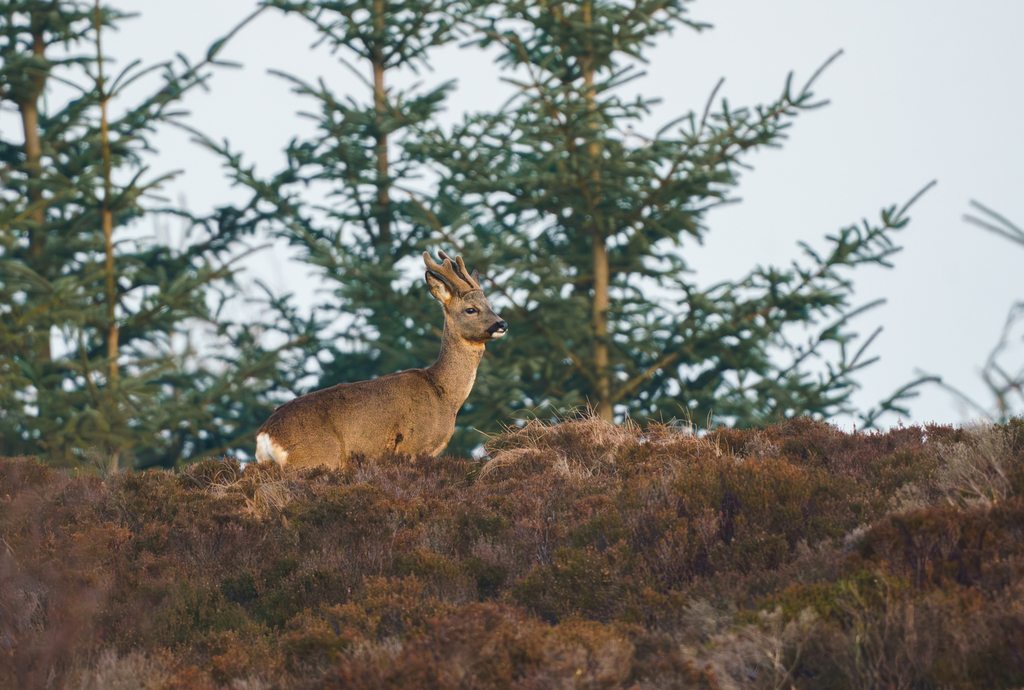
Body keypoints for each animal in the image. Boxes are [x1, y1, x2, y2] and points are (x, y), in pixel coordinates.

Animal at [254, 251, 508, 468]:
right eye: (471, 309)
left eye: (490, 306)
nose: (502, 324)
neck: (445, 394)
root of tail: (265, 433)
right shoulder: (413, 445)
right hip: (316, 457)